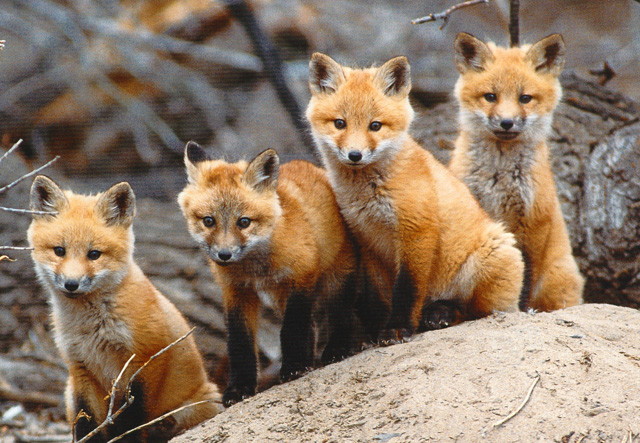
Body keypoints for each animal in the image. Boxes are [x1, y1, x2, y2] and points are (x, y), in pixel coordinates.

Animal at [27, 176, 220, 443]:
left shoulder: (146, 358)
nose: (71, 284)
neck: (93, 329)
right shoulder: (80, 369)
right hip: (68, 391)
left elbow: (132, 417)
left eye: (94, 254)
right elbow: (86, 421)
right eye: (59, 251)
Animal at [177, 142, 358, 407]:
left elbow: (292, 329)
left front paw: (294, 367)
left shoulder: (301, 276)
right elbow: (239, 343)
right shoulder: (236, 291)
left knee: (341, 315)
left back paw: (337, 349)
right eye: (209, 221)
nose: (224, 255)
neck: (256, 269)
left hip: (336, 280)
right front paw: (239, 388)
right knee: (314, 327)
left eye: (244, 222)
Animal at [305, 53, 524, 338]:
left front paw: (398, 327)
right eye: (339, 123)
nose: (355, 155)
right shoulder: (368, 241)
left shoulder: (417, 230)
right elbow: (377, 297)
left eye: (375, 126)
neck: (370, 192)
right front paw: (375, 333)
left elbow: (407, 290)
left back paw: (441, 313)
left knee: (472, 312)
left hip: (492, 259)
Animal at [449, 33, 584, 311]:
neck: (498, 177)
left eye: (525, 98)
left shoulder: (533, 223)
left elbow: (526, 278)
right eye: (490, 96)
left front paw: (523, 310)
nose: (507, 122)